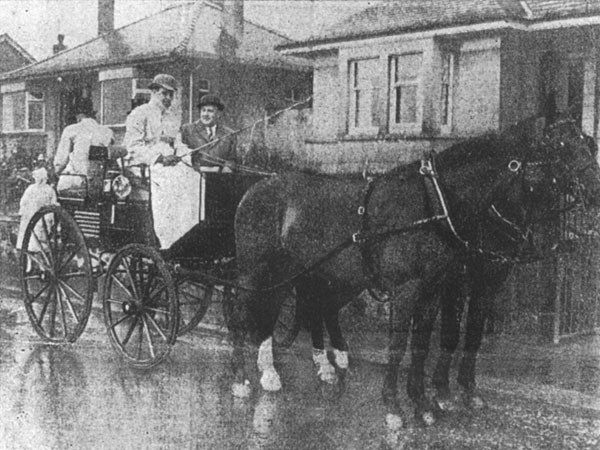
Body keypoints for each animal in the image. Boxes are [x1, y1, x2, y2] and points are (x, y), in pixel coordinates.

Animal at [227, 118, 600, 426]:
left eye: (589, 143)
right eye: (561, 148)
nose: (595, 190)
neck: (437, 206)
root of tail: (258, 187)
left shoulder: (447, 289)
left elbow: (435, 341)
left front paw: (426, 403)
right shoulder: (415, 290)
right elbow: (404, 344)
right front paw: (398, 405)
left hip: (302, 273)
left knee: (296, 309)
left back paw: (290, 371)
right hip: (257, 272)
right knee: (242, 313)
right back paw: (243, 379)